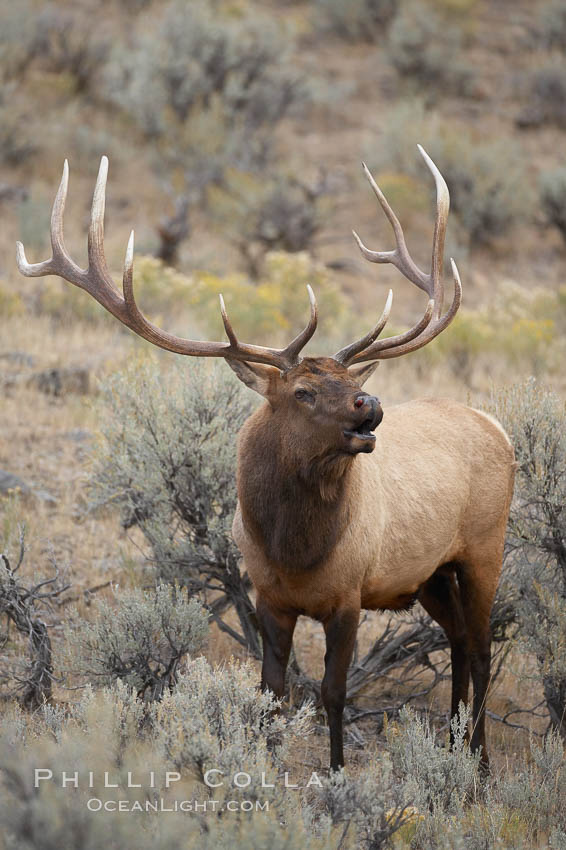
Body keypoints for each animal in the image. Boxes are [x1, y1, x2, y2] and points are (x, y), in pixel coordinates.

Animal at [17, 146, 516, 768]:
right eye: (303, 392)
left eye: (352, 380)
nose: (370, 404)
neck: (295, 551)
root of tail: (499, 429)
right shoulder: (269, 597)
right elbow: (271, 691)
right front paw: (265, 766)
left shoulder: (350, 596)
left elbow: (332, 692)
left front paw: (335, 770)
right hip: (431, 573)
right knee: (458, 642)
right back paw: (452, 745)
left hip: (484, 548)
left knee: (481, 648)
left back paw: (478, 763)